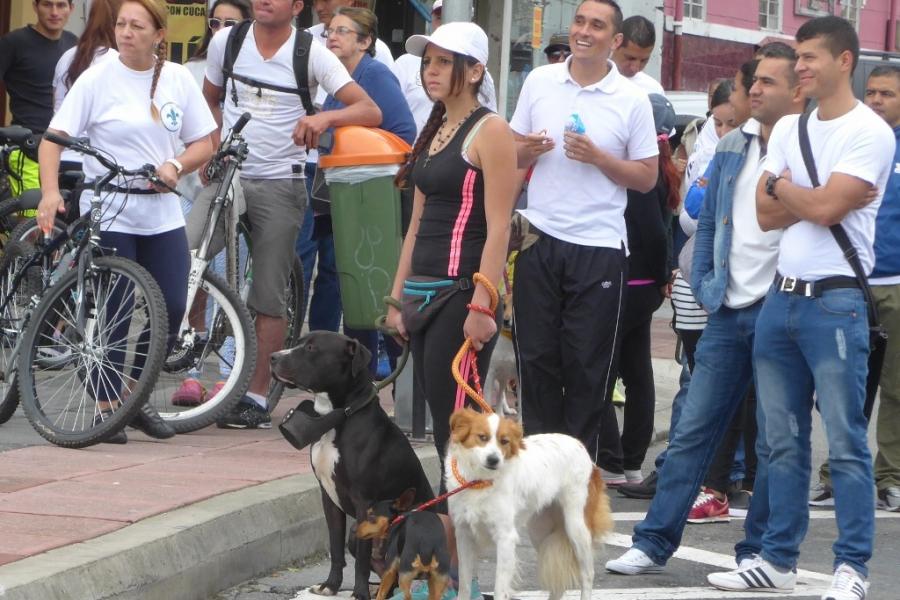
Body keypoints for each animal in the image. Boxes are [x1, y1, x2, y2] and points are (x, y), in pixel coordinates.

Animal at [444, 408, 612, 600]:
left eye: (504, 441)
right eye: (482, 437)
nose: (494, 460)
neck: (479, 481)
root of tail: (581, 447)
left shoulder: (505, 537)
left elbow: (499, 589)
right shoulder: (463, 534)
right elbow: (464, 585)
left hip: (576, 527)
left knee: (588, 574)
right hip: (541, 532)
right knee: (558, 584)